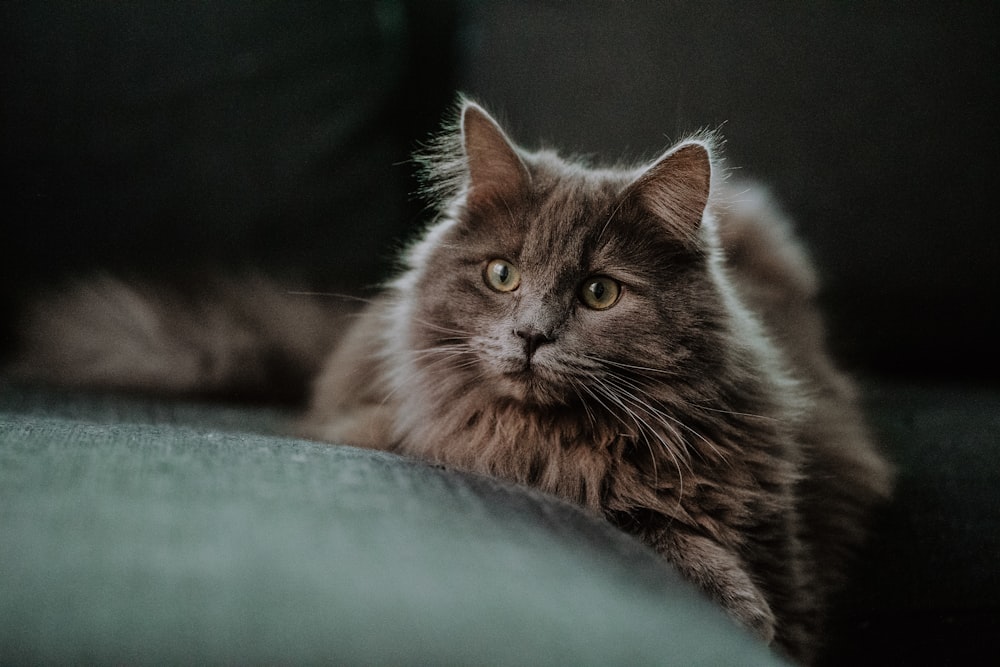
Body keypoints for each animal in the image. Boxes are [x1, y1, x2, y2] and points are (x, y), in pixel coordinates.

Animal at [11, 100, 896, 667]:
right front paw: (738, 604)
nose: (531, 334)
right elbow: (642, 521)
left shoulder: (787, 515)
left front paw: (752, 612)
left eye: (599, 293)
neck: (564, 437)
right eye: (503, 275)